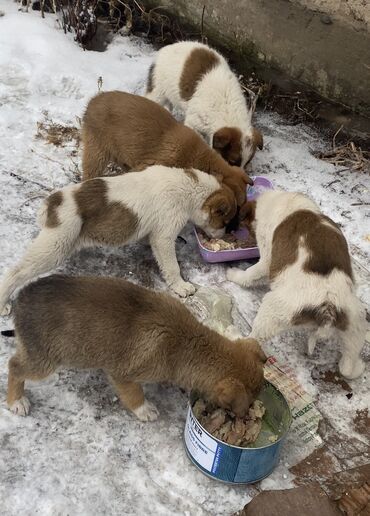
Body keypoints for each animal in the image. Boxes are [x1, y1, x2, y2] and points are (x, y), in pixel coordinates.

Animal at [0, 165, 237, 310]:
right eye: (224, 222)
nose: (225, 234)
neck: (189, 186)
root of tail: (52, 202)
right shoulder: (163, 237)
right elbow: (172, 267)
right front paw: (181, 287)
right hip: (54, 247)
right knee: (15, 272)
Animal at [7, 274, 268, 420]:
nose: (246, 417)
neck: (185, 343)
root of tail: (20, 299)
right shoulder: (122, 374)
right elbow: (135, 395)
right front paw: (145, 411)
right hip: (44, 361)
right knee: (14, 366)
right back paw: (16, 402)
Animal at [145, 41, 264, 169]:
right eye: (231, 162)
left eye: (247, 163)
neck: (227, 111)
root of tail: (166, 48)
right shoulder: (194, 122)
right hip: (158, 92)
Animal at [227, 189, 366, 378]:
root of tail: (327, 308)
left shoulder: (267, 259)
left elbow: (251, 273)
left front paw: (234, 274)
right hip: (355, 323)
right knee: (347, 366)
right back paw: (358, 367)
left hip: (272, 310)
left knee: (253, 339)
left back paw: (233, 335)